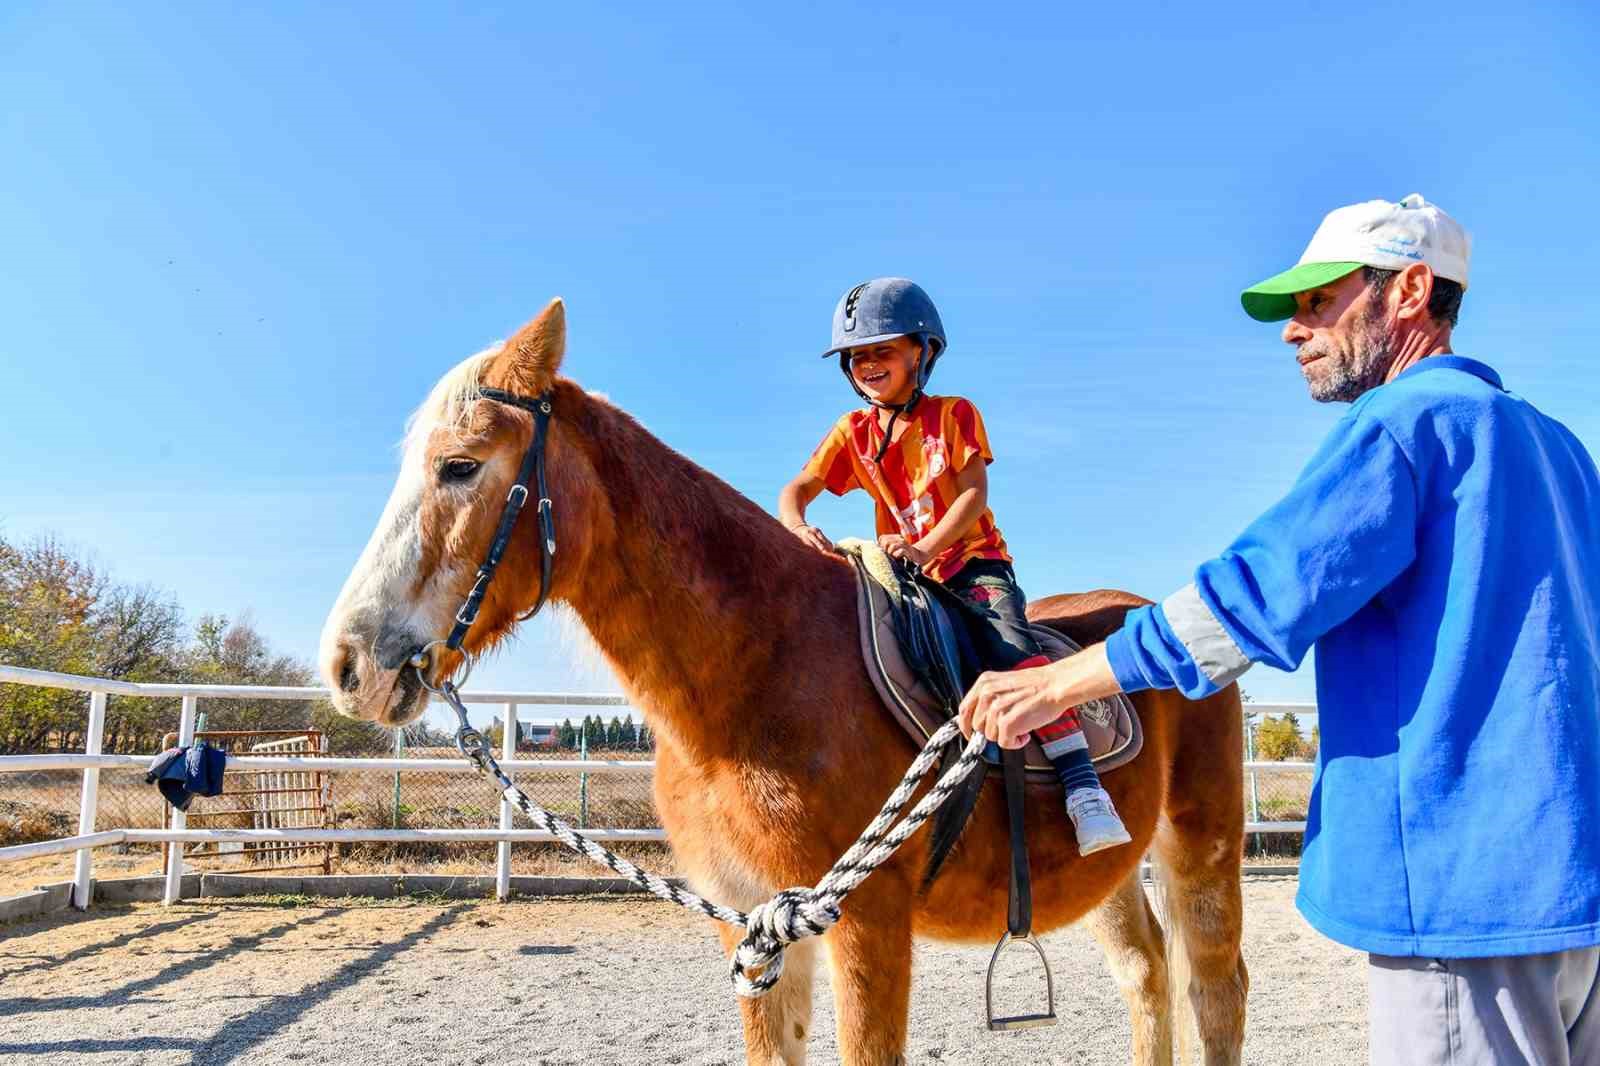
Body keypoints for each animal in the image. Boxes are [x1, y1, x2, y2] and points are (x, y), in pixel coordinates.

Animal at [318, 300, 1248, 1062]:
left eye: (461, 465)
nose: (348, 664)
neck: (759, 672)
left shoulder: (866, 925)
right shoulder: (761, 923)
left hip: (1200, 848)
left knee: (1214, 992)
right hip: (1114, 875)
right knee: (1146, 978)